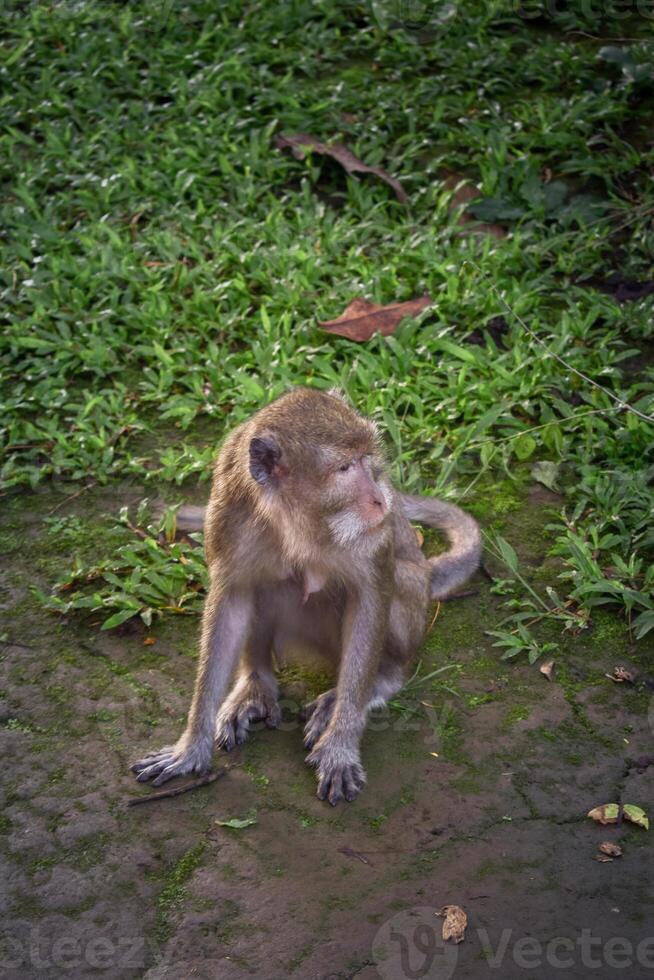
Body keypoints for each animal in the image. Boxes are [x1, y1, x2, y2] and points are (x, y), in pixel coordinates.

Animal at [133, 386, 482, 808]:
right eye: (345, 468)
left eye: (366, 460)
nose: (380, 499)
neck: (295, 516)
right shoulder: (230, 512)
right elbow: (232, 599)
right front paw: (190, 748)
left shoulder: (370, 538)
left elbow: (370, 596)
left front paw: (340, 747)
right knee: (267, 584)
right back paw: (255, 683)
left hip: (411, 601)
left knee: (394, 584)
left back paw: (373, 685)